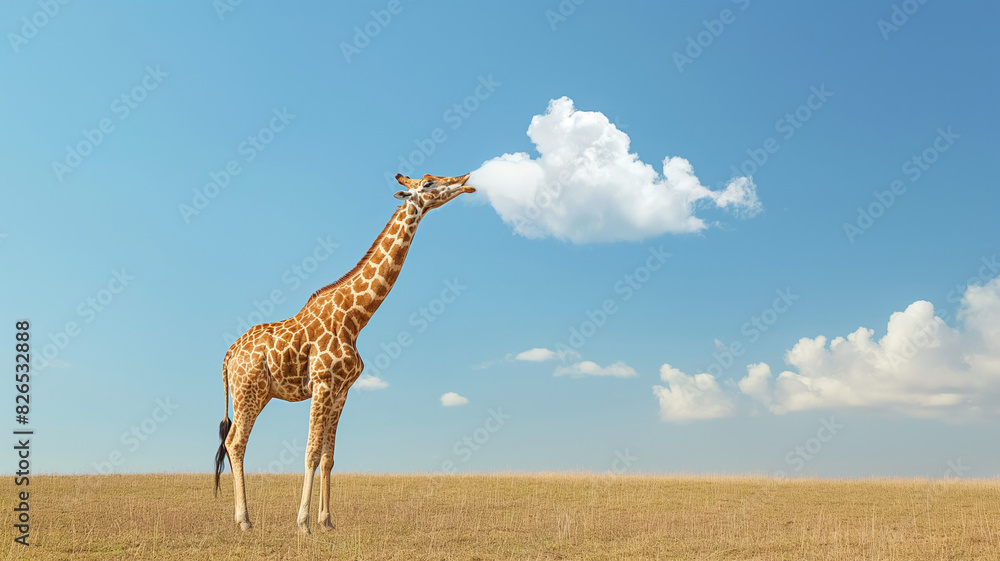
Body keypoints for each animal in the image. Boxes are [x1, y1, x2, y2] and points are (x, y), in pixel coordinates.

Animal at [214, 172, 475, 533]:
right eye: (428, 184)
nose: (467, 181)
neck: (355, 317)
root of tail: (228, 356)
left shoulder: (342, 390)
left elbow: (328, 457)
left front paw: (326, 522)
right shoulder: (323, 383)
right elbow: (310, 452)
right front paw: (303, 524)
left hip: (259, 393)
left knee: (233, 442)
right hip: (247, 391)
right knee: (235, 443)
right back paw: (244, 520)